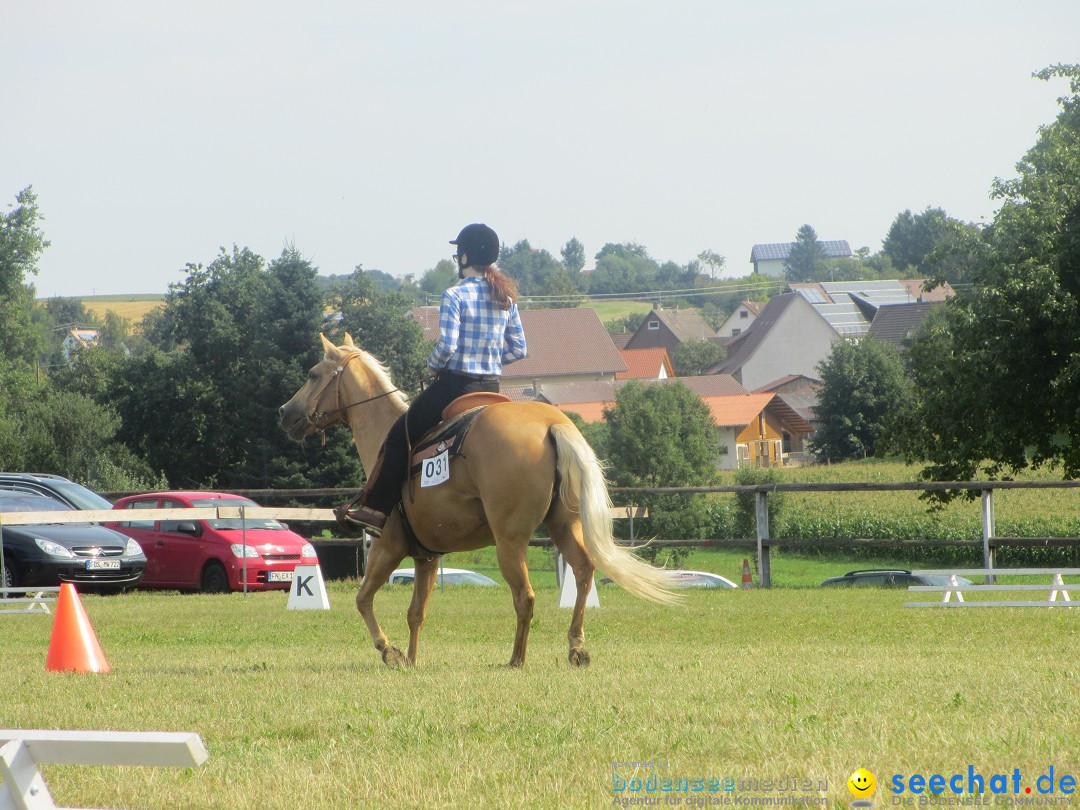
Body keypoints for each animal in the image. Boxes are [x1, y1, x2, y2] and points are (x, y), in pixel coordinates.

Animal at [278, 332, 673, 669]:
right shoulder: (426, 557)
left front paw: (390, 651)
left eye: (313, 374)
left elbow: (362, 599)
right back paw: (576, 648)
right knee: (583, 571)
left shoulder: (387, 547)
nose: (285, 412)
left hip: (509, 539)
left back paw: (516, 659)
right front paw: (412, 660)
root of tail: (552, 424)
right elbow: (416, 612)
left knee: (525, 595)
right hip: (563, 524)